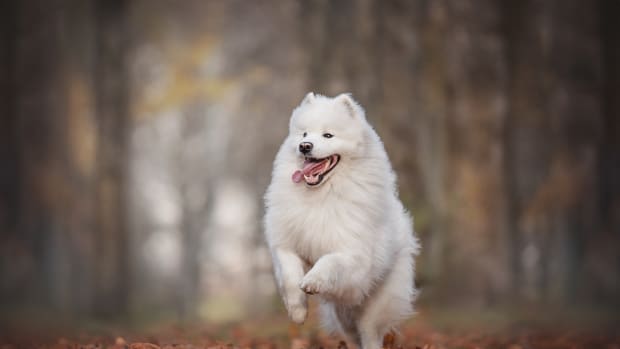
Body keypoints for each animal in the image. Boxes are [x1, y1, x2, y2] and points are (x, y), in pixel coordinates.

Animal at [264, 92, 418, 348]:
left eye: (328, 135)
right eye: (304, 134)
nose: (305, 146)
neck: (321, 195)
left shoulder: (352, 254)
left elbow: (329, 261)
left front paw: (313, 280)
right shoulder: (286, 244)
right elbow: (289, 274)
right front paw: (297, 312)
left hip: (374, 307)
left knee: (370, 334)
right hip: (343, 313)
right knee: (351, 336)